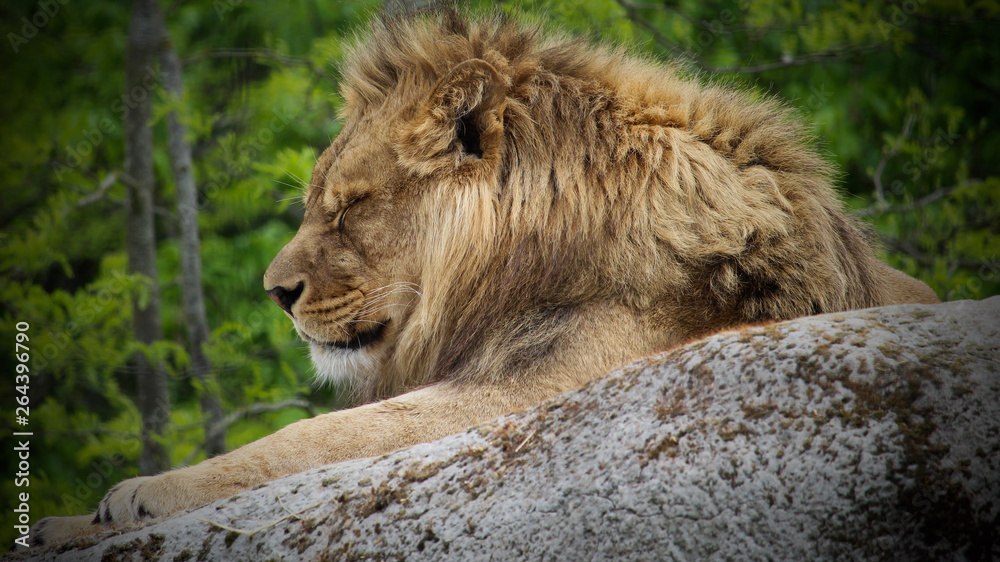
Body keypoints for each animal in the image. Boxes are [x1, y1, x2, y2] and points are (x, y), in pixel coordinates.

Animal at [32, 8, 937, 545]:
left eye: (349, 206)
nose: (275, 292)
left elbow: (316, 438)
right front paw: (73, 520)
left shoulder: (537, 390)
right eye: (320, 203)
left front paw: (137, 495)